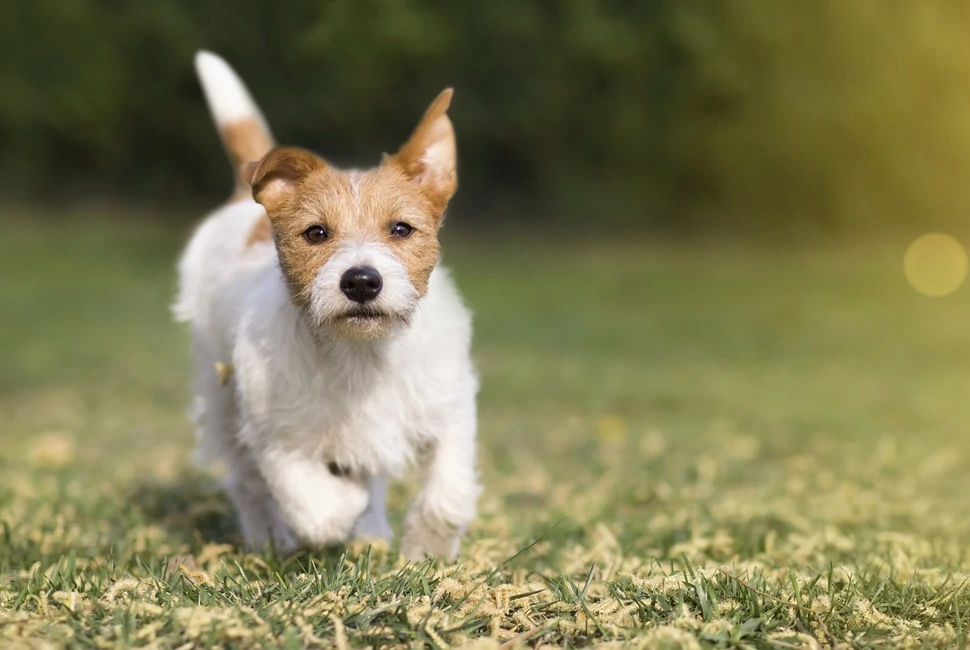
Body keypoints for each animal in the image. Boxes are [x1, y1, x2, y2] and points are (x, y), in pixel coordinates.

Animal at [174, 52, 480, 556]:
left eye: (401, 229)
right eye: (316, 233)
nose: (361, 282)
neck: (362, 353)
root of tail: (242, 197)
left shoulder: (450, 411)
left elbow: (445, 495)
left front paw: (426, 552)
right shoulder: (276, 435)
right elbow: (317, 507)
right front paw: (345, 507)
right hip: (218, 393)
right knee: (248, 484)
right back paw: (271, 538)